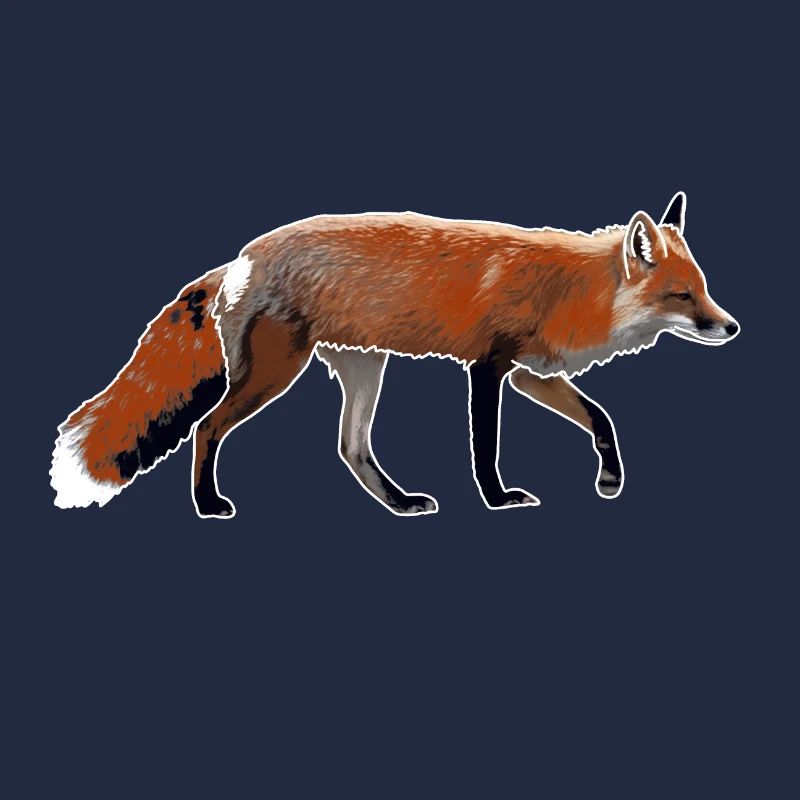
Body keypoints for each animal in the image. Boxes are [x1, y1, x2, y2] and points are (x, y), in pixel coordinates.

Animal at [51, 192, 739, 518]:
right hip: (277, 372)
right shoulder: (489, 369)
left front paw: (610, 479)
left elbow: (602, 420)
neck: (572, 291)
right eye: (683, 296)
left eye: (705, 288)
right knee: (205, 428)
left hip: (364, 368)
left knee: (351, 448)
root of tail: (243, 257)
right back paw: (208, 506)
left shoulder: (532, 375)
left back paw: (401, 504)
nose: (731, 327)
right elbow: (485, 448)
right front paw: (497, 500)